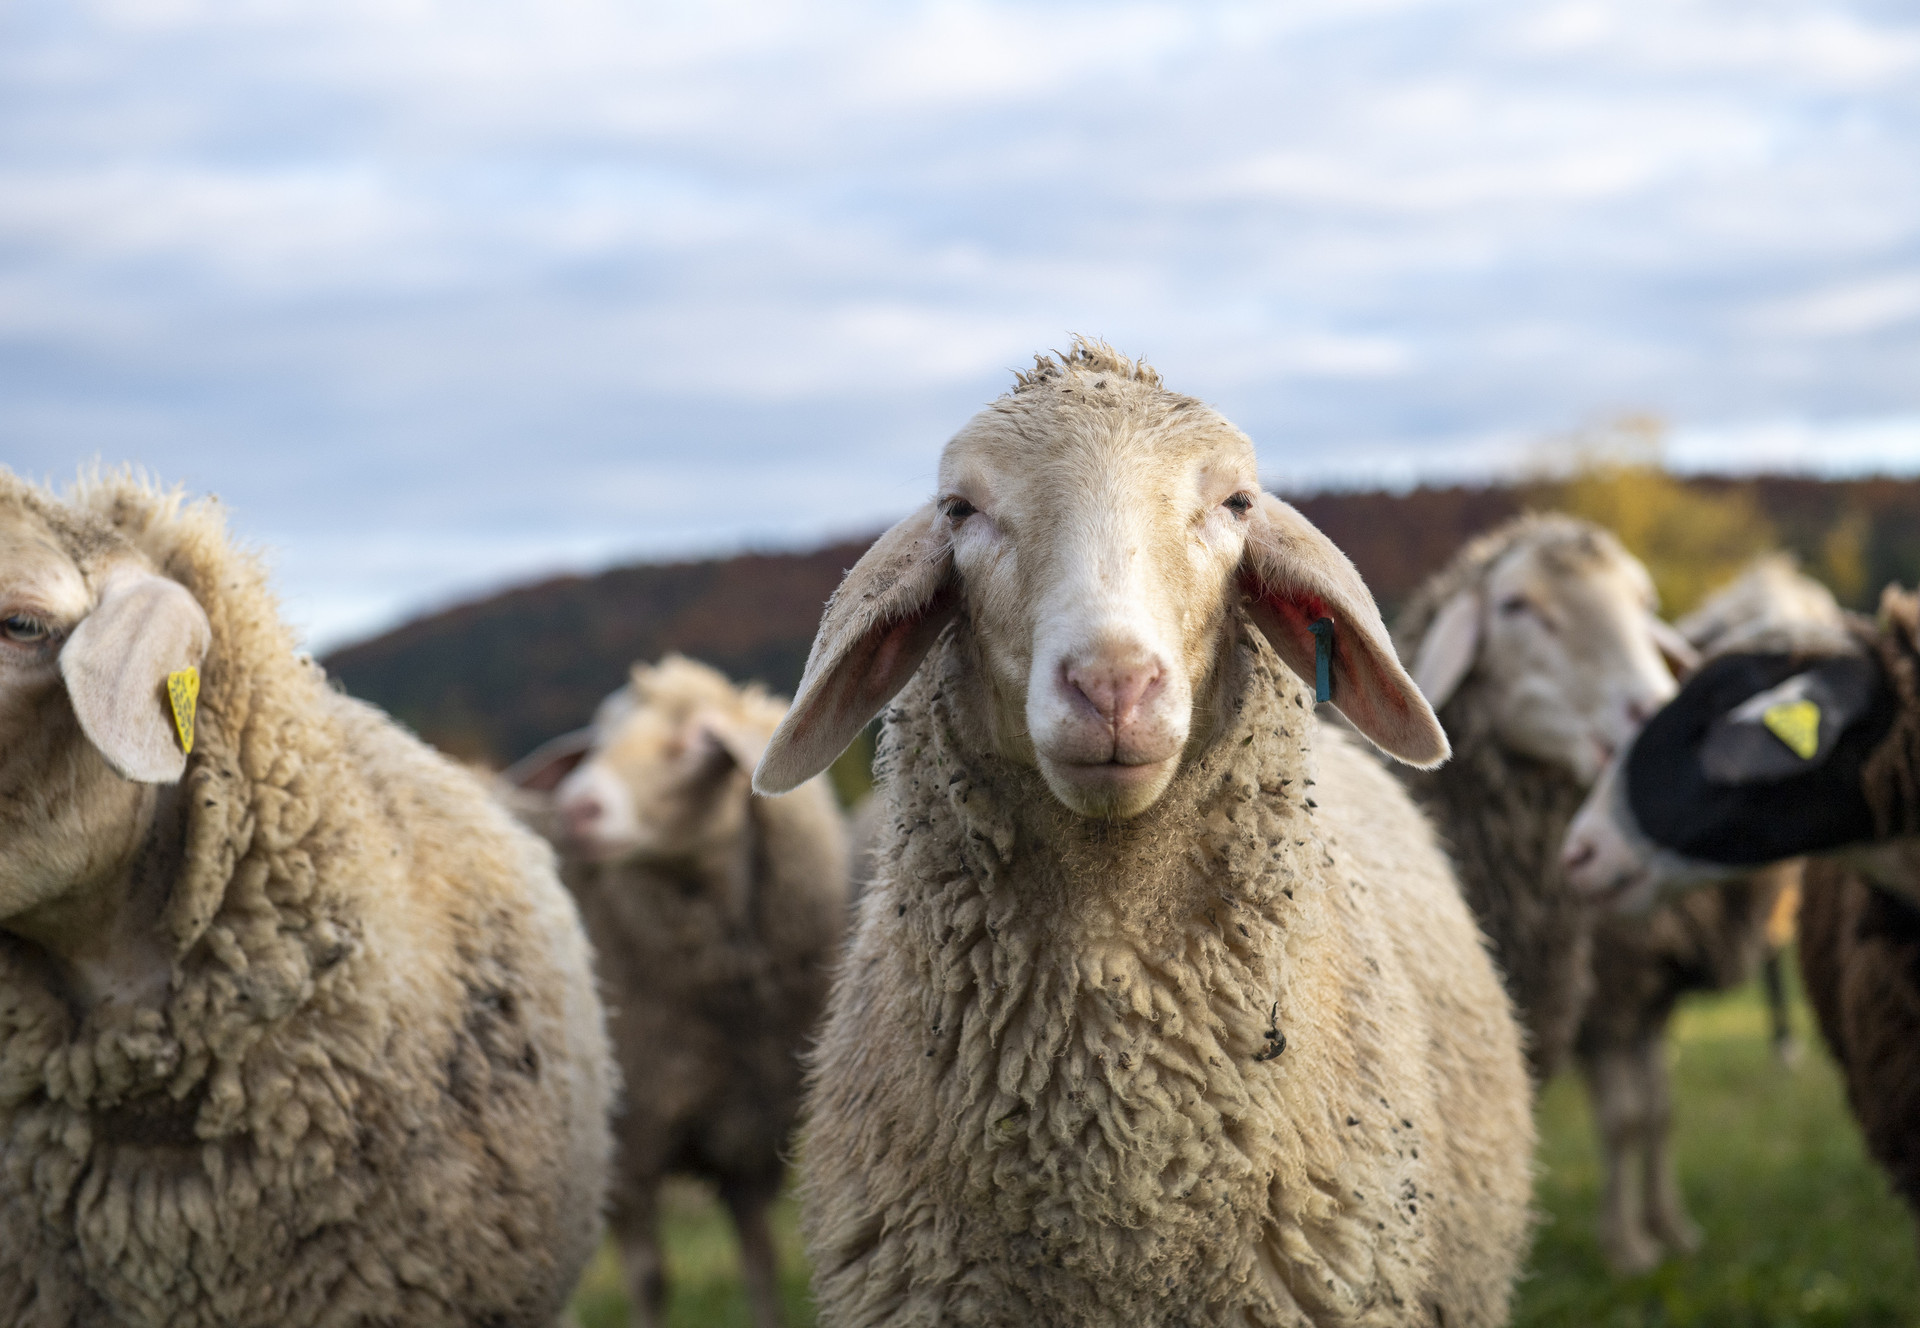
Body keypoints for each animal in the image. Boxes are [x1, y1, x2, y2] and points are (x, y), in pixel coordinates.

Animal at [505, 655, 849, 1328]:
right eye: (597, 739)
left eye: (700, 741)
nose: (575, 809)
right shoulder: (627, 1151)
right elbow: (650, 1279)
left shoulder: (745, 1133)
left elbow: (761, 1265)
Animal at [1394, 525, 1805, 1274]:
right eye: (1515, 605)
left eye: (1642, 604)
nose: (1648, 714)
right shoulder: (1611, 1001)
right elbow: (1623, 1118)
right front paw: (1630, 1248)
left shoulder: (1649, 997)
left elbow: (1658, 1110)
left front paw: (1671, 1230)